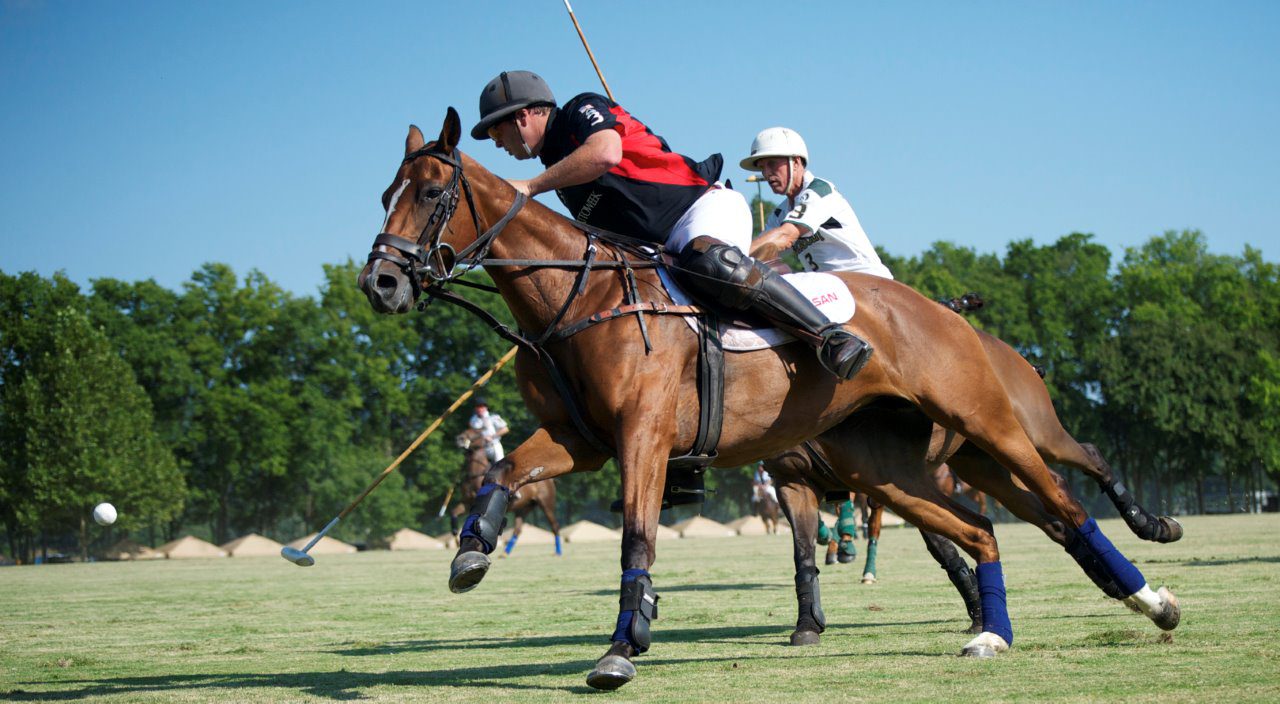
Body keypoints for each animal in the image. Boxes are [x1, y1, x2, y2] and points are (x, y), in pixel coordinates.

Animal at [450, 430, 560, 558]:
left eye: (476, 432)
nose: (459, 439)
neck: (475, 474)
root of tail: (550, 480)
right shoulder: (466, 503)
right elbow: (453, 513)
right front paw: (456, 539)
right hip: (524, 508)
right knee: (518, 529)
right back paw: (505, 553)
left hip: (546, 503)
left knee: (554, 525)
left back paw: (558, 552)